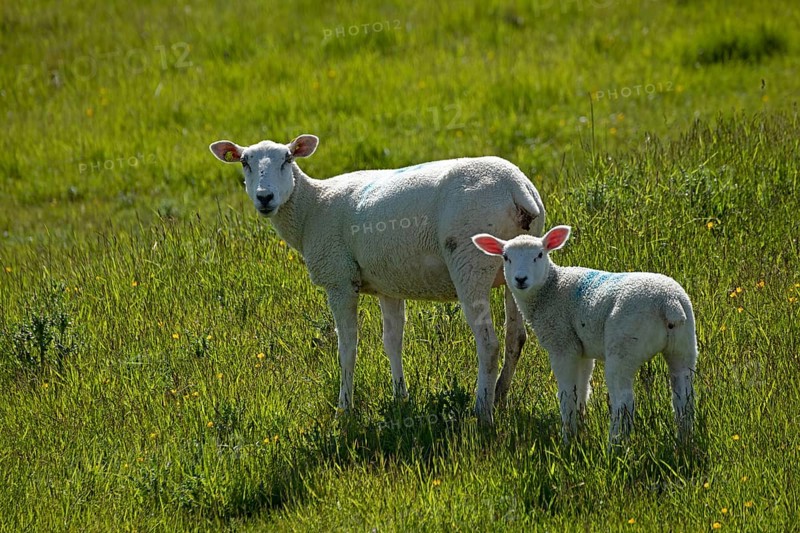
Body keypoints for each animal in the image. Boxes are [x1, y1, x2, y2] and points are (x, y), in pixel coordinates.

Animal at [209, 134, 545, 424]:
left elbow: (347, 347)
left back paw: (482, 411)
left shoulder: (339, 279)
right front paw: (401, 398)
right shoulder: (389, 285)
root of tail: (517, 189)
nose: (264, 197)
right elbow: (392, 342)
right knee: (516, 338)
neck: (311, 208)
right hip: (517, 265)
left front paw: (344, 409)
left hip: (468, 259)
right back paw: (500, 396)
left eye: (288, 159)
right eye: (244, 162)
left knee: (488, 344)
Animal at [472, 225, 696, 446]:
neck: (551, 288)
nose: (520, 279)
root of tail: (669, 303)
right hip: (684, 343)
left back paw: (615, 446)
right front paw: (579, 429)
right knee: (684, 396)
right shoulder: (582, 349)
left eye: (539, 254)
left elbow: (566, 395)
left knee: (624, 402)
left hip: (625, 343)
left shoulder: (562, 342)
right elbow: (581, 390)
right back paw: (684, 442)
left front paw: (567, 439)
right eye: (506, 257)